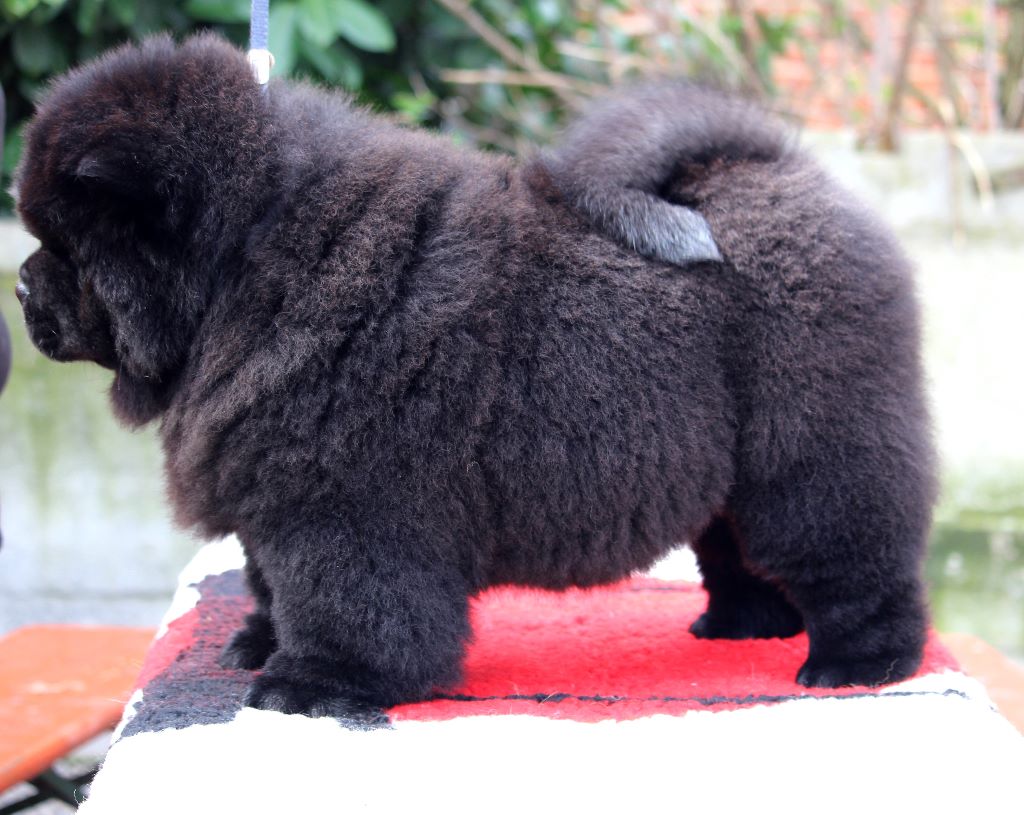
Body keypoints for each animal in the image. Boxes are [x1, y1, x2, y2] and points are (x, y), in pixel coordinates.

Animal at [15, 35, 935, 721]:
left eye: (67, 246)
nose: (20, 286)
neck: (253, 261)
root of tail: (771, 168)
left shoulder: (338, 510)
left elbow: (340, 602)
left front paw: (312, 685)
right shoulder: (271, 501)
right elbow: (270, 582)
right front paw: (258, 642)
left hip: (813, 454)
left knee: (857, 557)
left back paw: (857, 664)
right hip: (737, 474)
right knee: (739, 549)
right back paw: (744, 627)